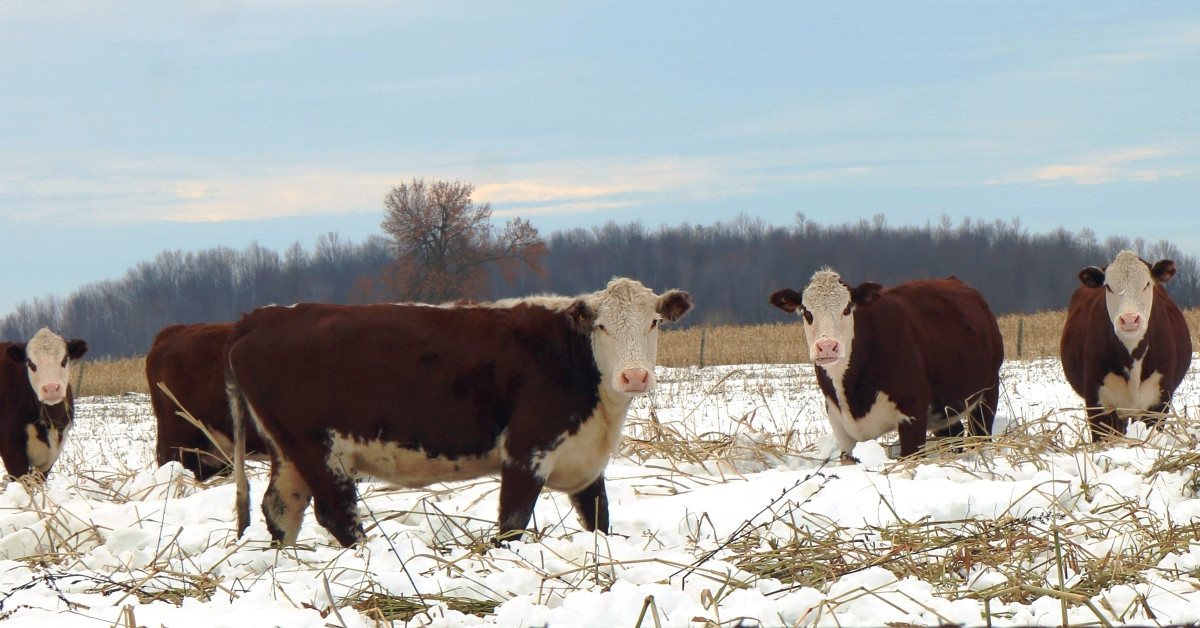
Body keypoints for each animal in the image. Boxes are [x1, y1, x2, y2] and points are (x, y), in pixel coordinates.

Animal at [226, 278, 693, 547]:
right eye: (602, 326)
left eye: (654, 323)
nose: (635, 376)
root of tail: (260, 317)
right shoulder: (526, 451)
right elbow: (512, 522)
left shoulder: (586, 461)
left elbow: (600, 519)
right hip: (319, 450)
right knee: (338, 514)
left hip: (288, 451)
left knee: (280, 508)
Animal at [770, 270, 1003, 459]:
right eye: (806, 311)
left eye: (847, 308)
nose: (827, 346)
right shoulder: (841, 426)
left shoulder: (912, 414)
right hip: (944, 405)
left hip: (988, 390)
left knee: (980, 435)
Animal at [1060, 250, 1193, 441]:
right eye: (1108, 286)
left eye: (1147, 283)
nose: (1129, 319)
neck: (1133, 355)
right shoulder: (1098, 402)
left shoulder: (1158, 402)